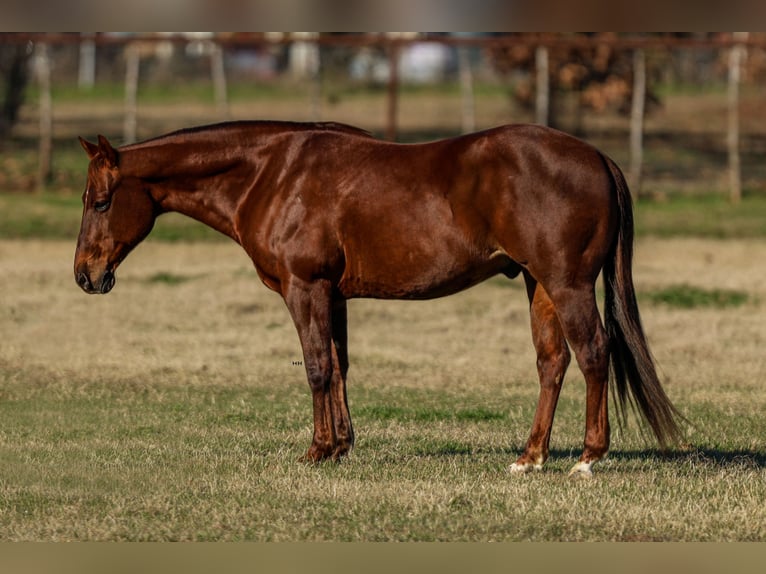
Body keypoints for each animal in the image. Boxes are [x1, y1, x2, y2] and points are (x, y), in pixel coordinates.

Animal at [75, 120, 688, 476]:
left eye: (100, 201)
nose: (84, 274)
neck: (272, 174)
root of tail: (597, 158)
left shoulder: (304, 287)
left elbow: (317, 367)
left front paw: (318, 450)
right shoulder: (333, 294)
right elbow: (340, 364)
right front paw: (342, 445)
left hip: (567, 284)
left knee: (593, 354)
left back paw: (587, 458)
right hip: (539, 285)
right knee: (552, 362)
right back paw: (530, 457)